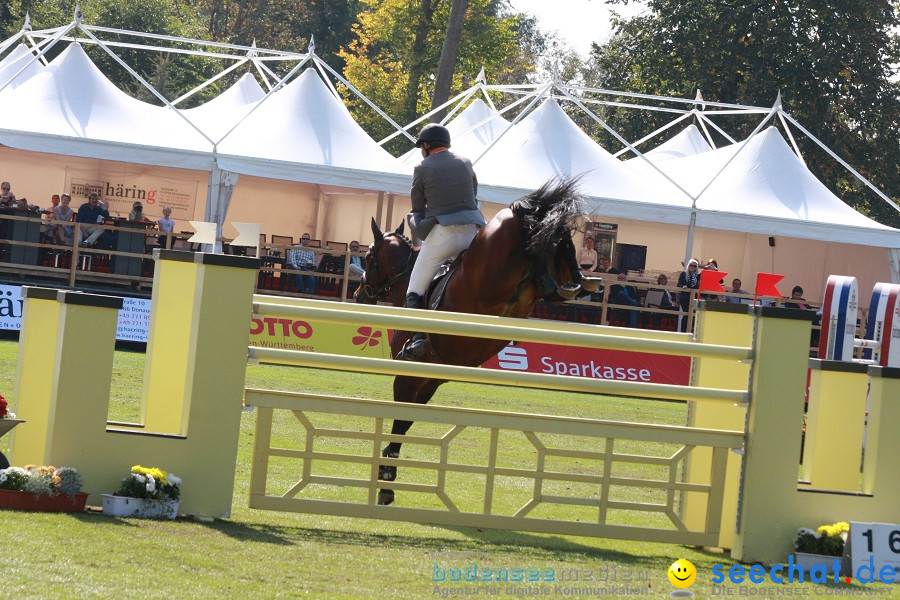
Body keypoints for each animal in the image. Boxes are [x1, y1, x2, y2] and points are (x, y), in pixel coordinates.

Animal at [356, 176, 596, 504]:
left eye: (368, 258)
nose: (359, 295)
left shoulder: (410, 374)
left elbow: (400, 420)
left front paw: (386, 477)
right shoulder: (430, 379)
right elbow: (406, 420)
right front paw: (388, 474)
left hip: (496, 270)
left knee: (529, 238)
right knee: (551, 253)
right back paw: (569, 274)